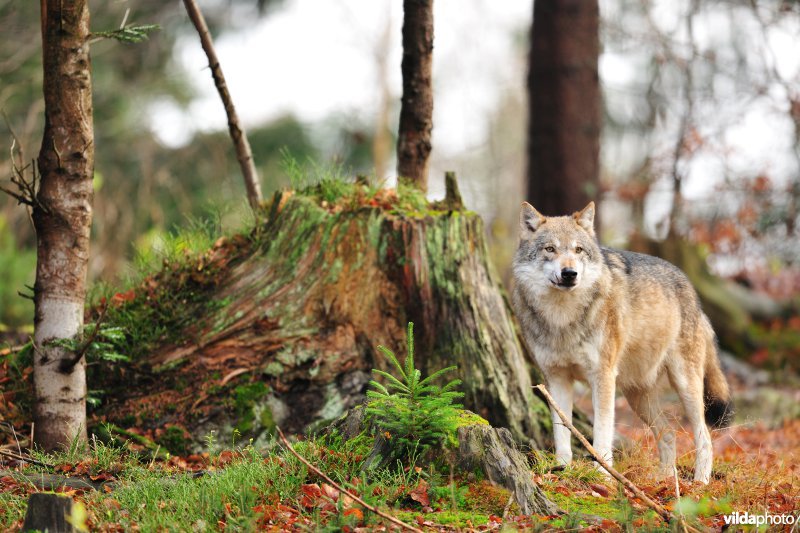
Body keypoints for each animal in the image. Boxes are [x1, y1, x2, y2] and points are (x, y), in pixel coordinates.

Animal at [511, 201, 732, 484]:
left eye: (578, 250)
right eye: (550, 249)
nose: (570, 273)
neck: (562, 318)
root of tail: (696, 298)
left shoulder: (603, 377)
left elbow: (602, 431)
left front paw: (603, 476)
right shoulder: (556, 379)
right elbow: (562, 431)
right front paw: (561, 470)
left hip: (686, 386)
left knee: (704, 436)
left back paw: (699, 483)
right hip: (637, 397)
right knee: (669, 433)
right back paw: (663, 481)